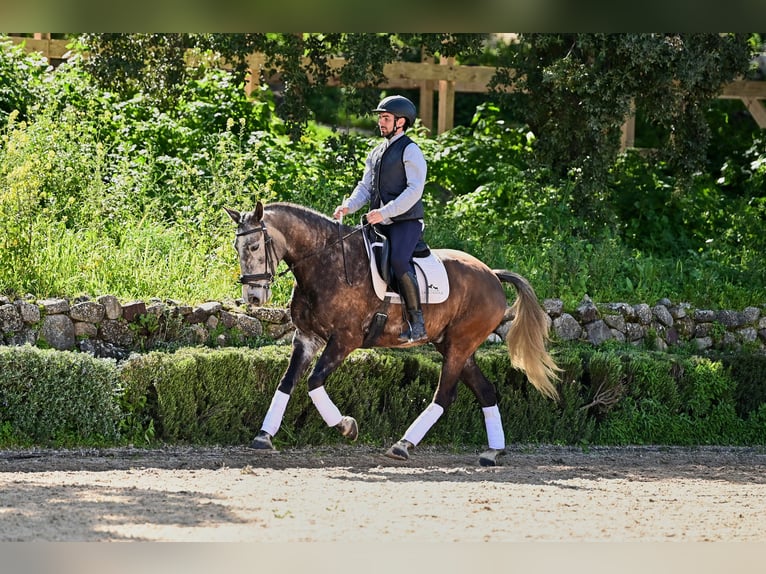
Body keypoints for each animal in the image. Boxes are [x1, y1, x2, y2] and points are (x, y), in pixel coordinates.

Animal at [222, 200, 560, 466]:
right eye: (238, 248)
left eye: (254, 246)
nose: (253, 298)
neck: (324, 263)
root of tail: (492, 274)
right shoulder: (307, 338)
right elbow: (287, 382)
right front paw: (264, 436)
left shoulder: (344, 340)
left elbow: (314, 382)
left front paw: (347, 426)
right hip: (454, 346)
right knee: (486, 391)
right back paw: (493, 452)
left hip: (460, 345)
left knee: (445, 395)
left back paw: (403, 445)